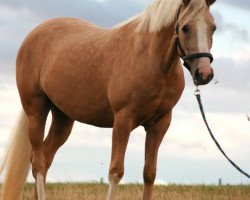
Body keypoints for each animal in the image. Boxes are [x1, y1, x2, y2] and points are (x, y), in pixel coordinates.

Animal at [0, 0, 216, 199]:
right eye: (185, 27)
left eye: (213, 27)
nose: (204, 73)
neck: (149, 58)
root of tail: (34, 34)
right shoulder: (123, 120)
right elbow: (115, 171)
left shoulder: (160, 123)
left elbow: (149, 173)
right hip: (36, 109)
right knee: (37, 163)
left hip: (63, 118)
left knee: (46, 158)